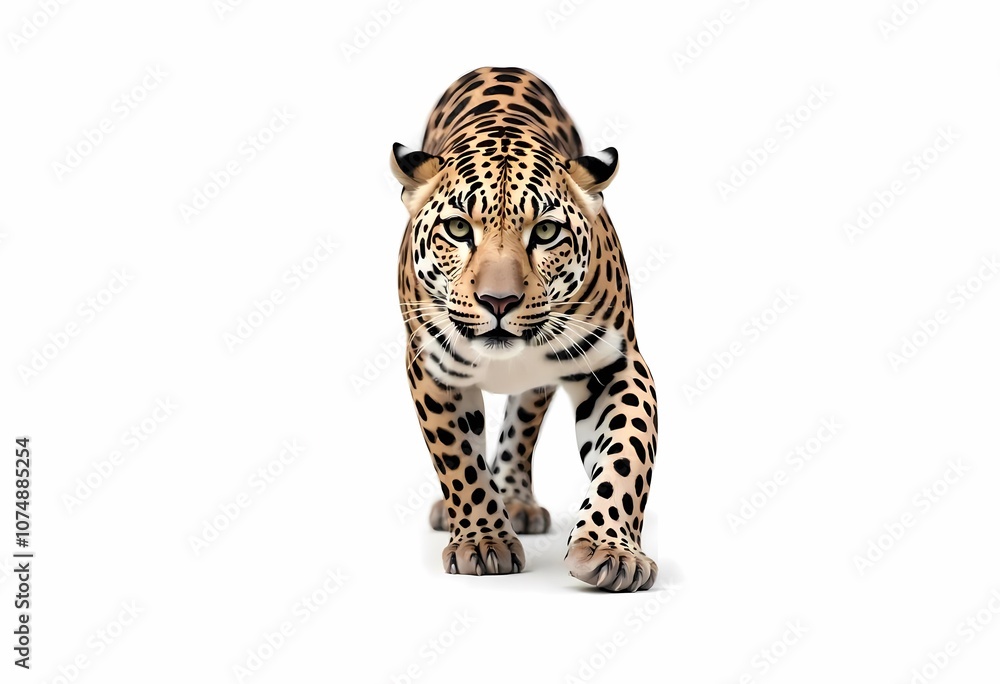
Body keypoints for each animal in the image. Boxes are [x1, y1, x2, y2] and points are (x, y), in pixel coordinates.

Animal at [392, 66, 659, 592]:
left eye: (546, 232)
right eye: (458, 229)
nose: (499, 301)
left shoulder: (617, 364)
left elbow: (626, 453)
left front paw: (610, 551)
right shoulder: (431, 368)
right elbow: (459, 460)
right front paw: (482, 542)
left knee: (523, 420)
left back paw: (516, 499)